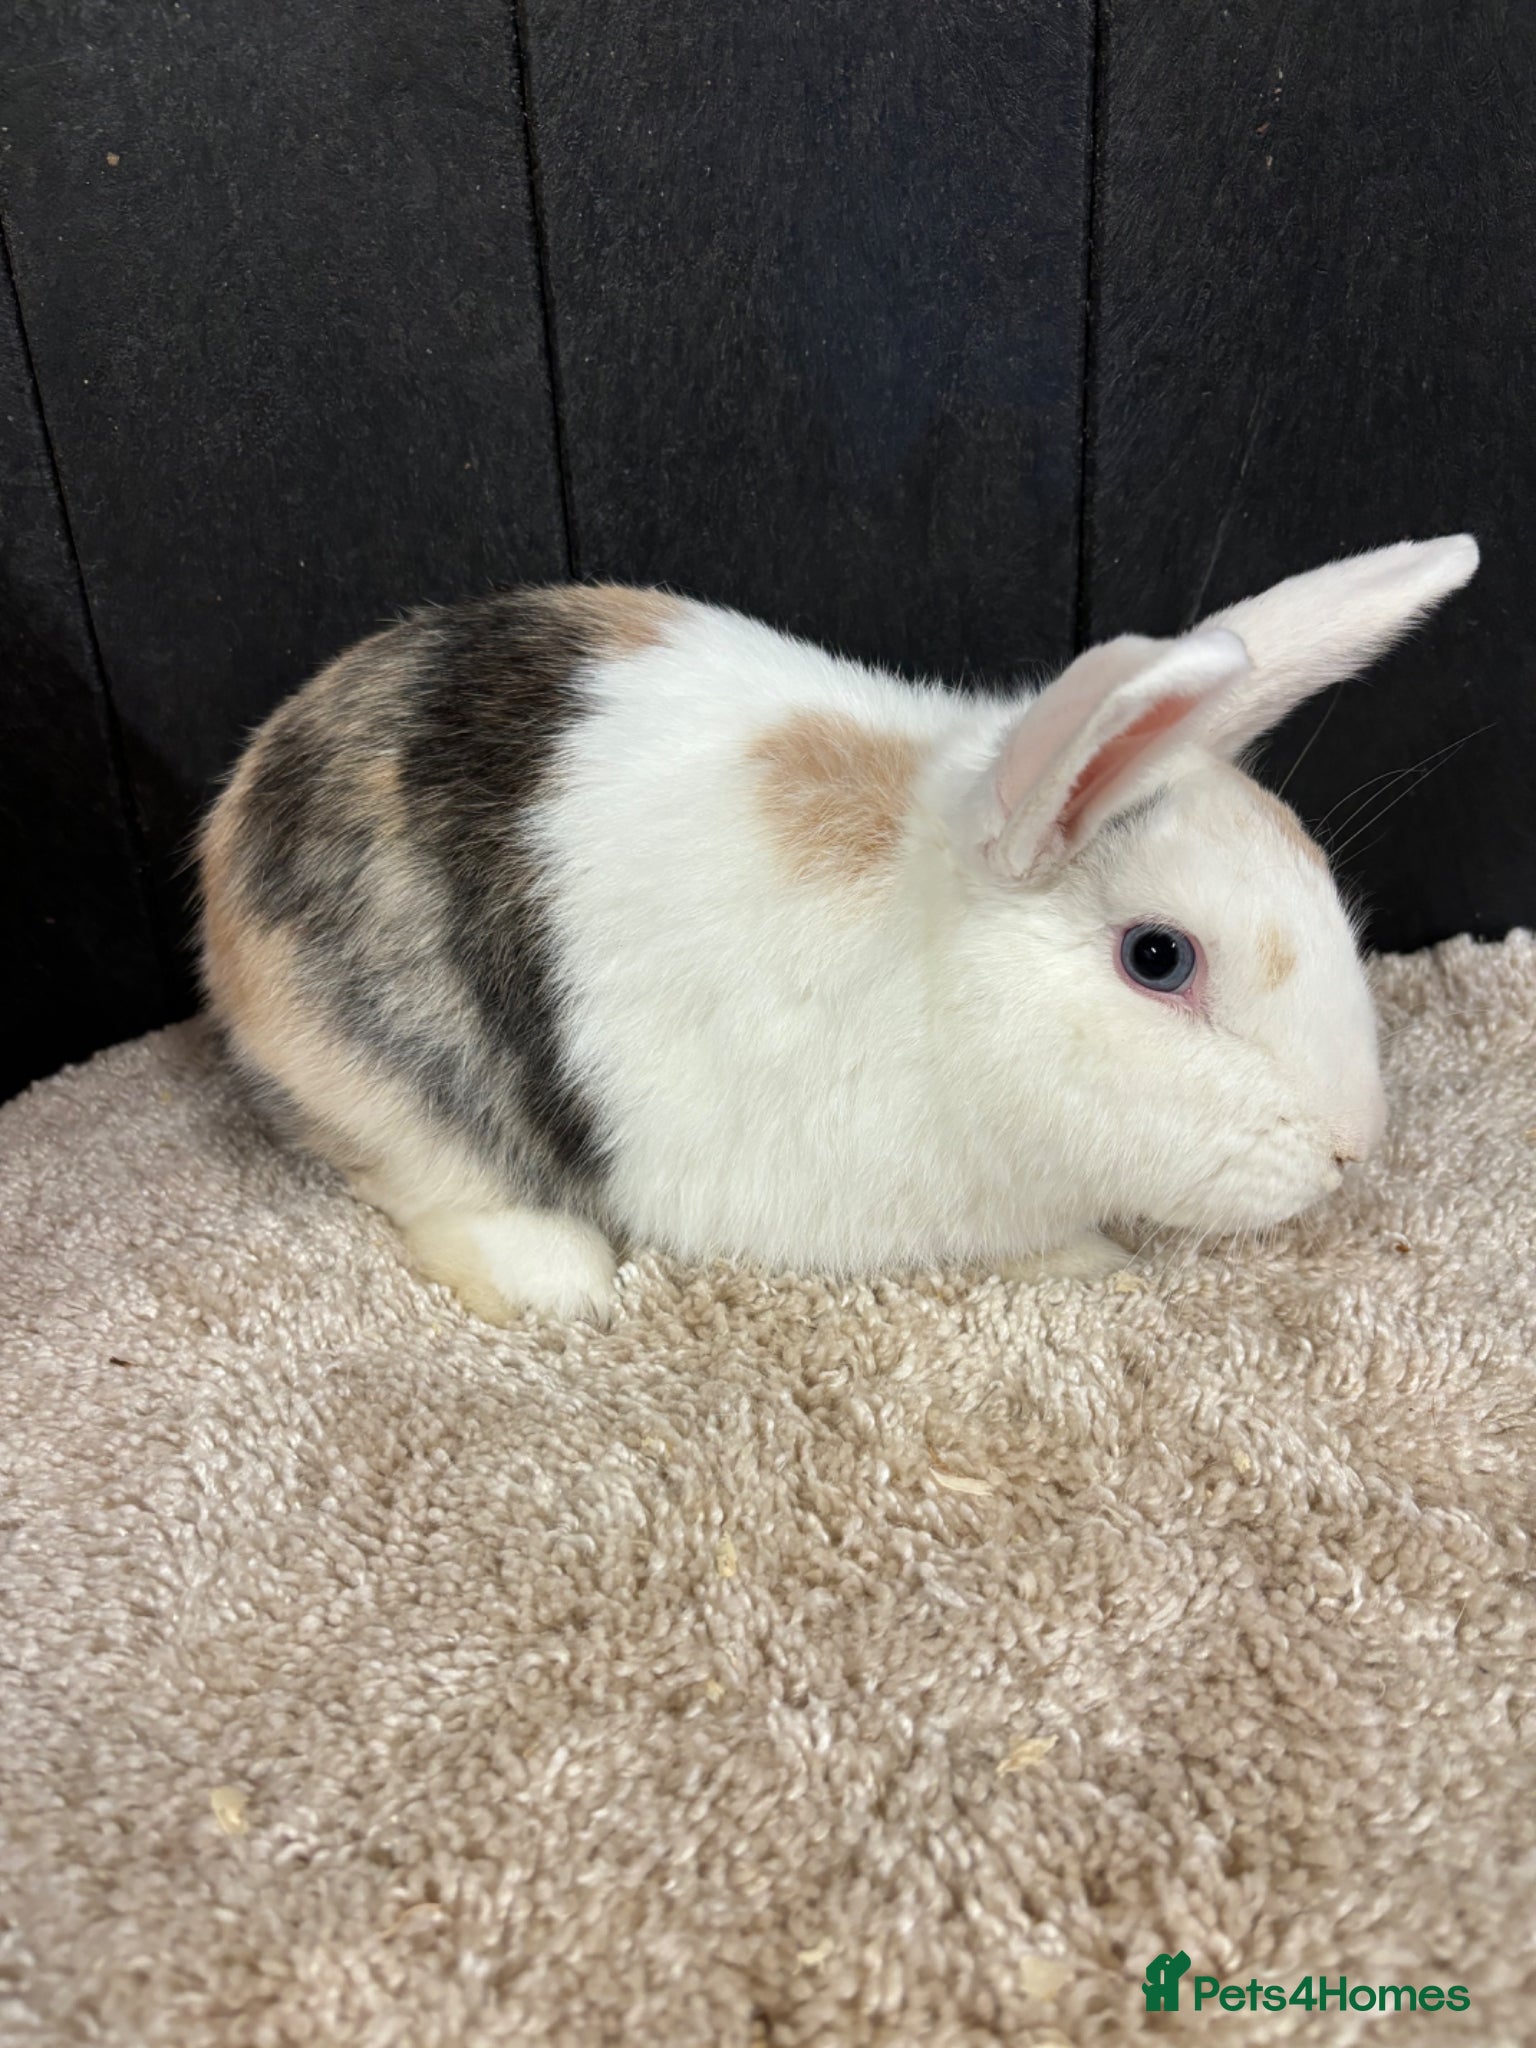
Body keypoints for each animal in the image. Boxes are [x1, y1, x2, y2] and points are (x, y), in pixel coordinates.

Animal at [199, 534, 1478, 1325]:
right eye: (1158, 957)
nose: (1354, 1144)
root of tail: (228, 838)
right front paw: (1096, 1258)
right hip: (393, 1069)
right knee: (428, 1180)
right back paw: (559, 1278)